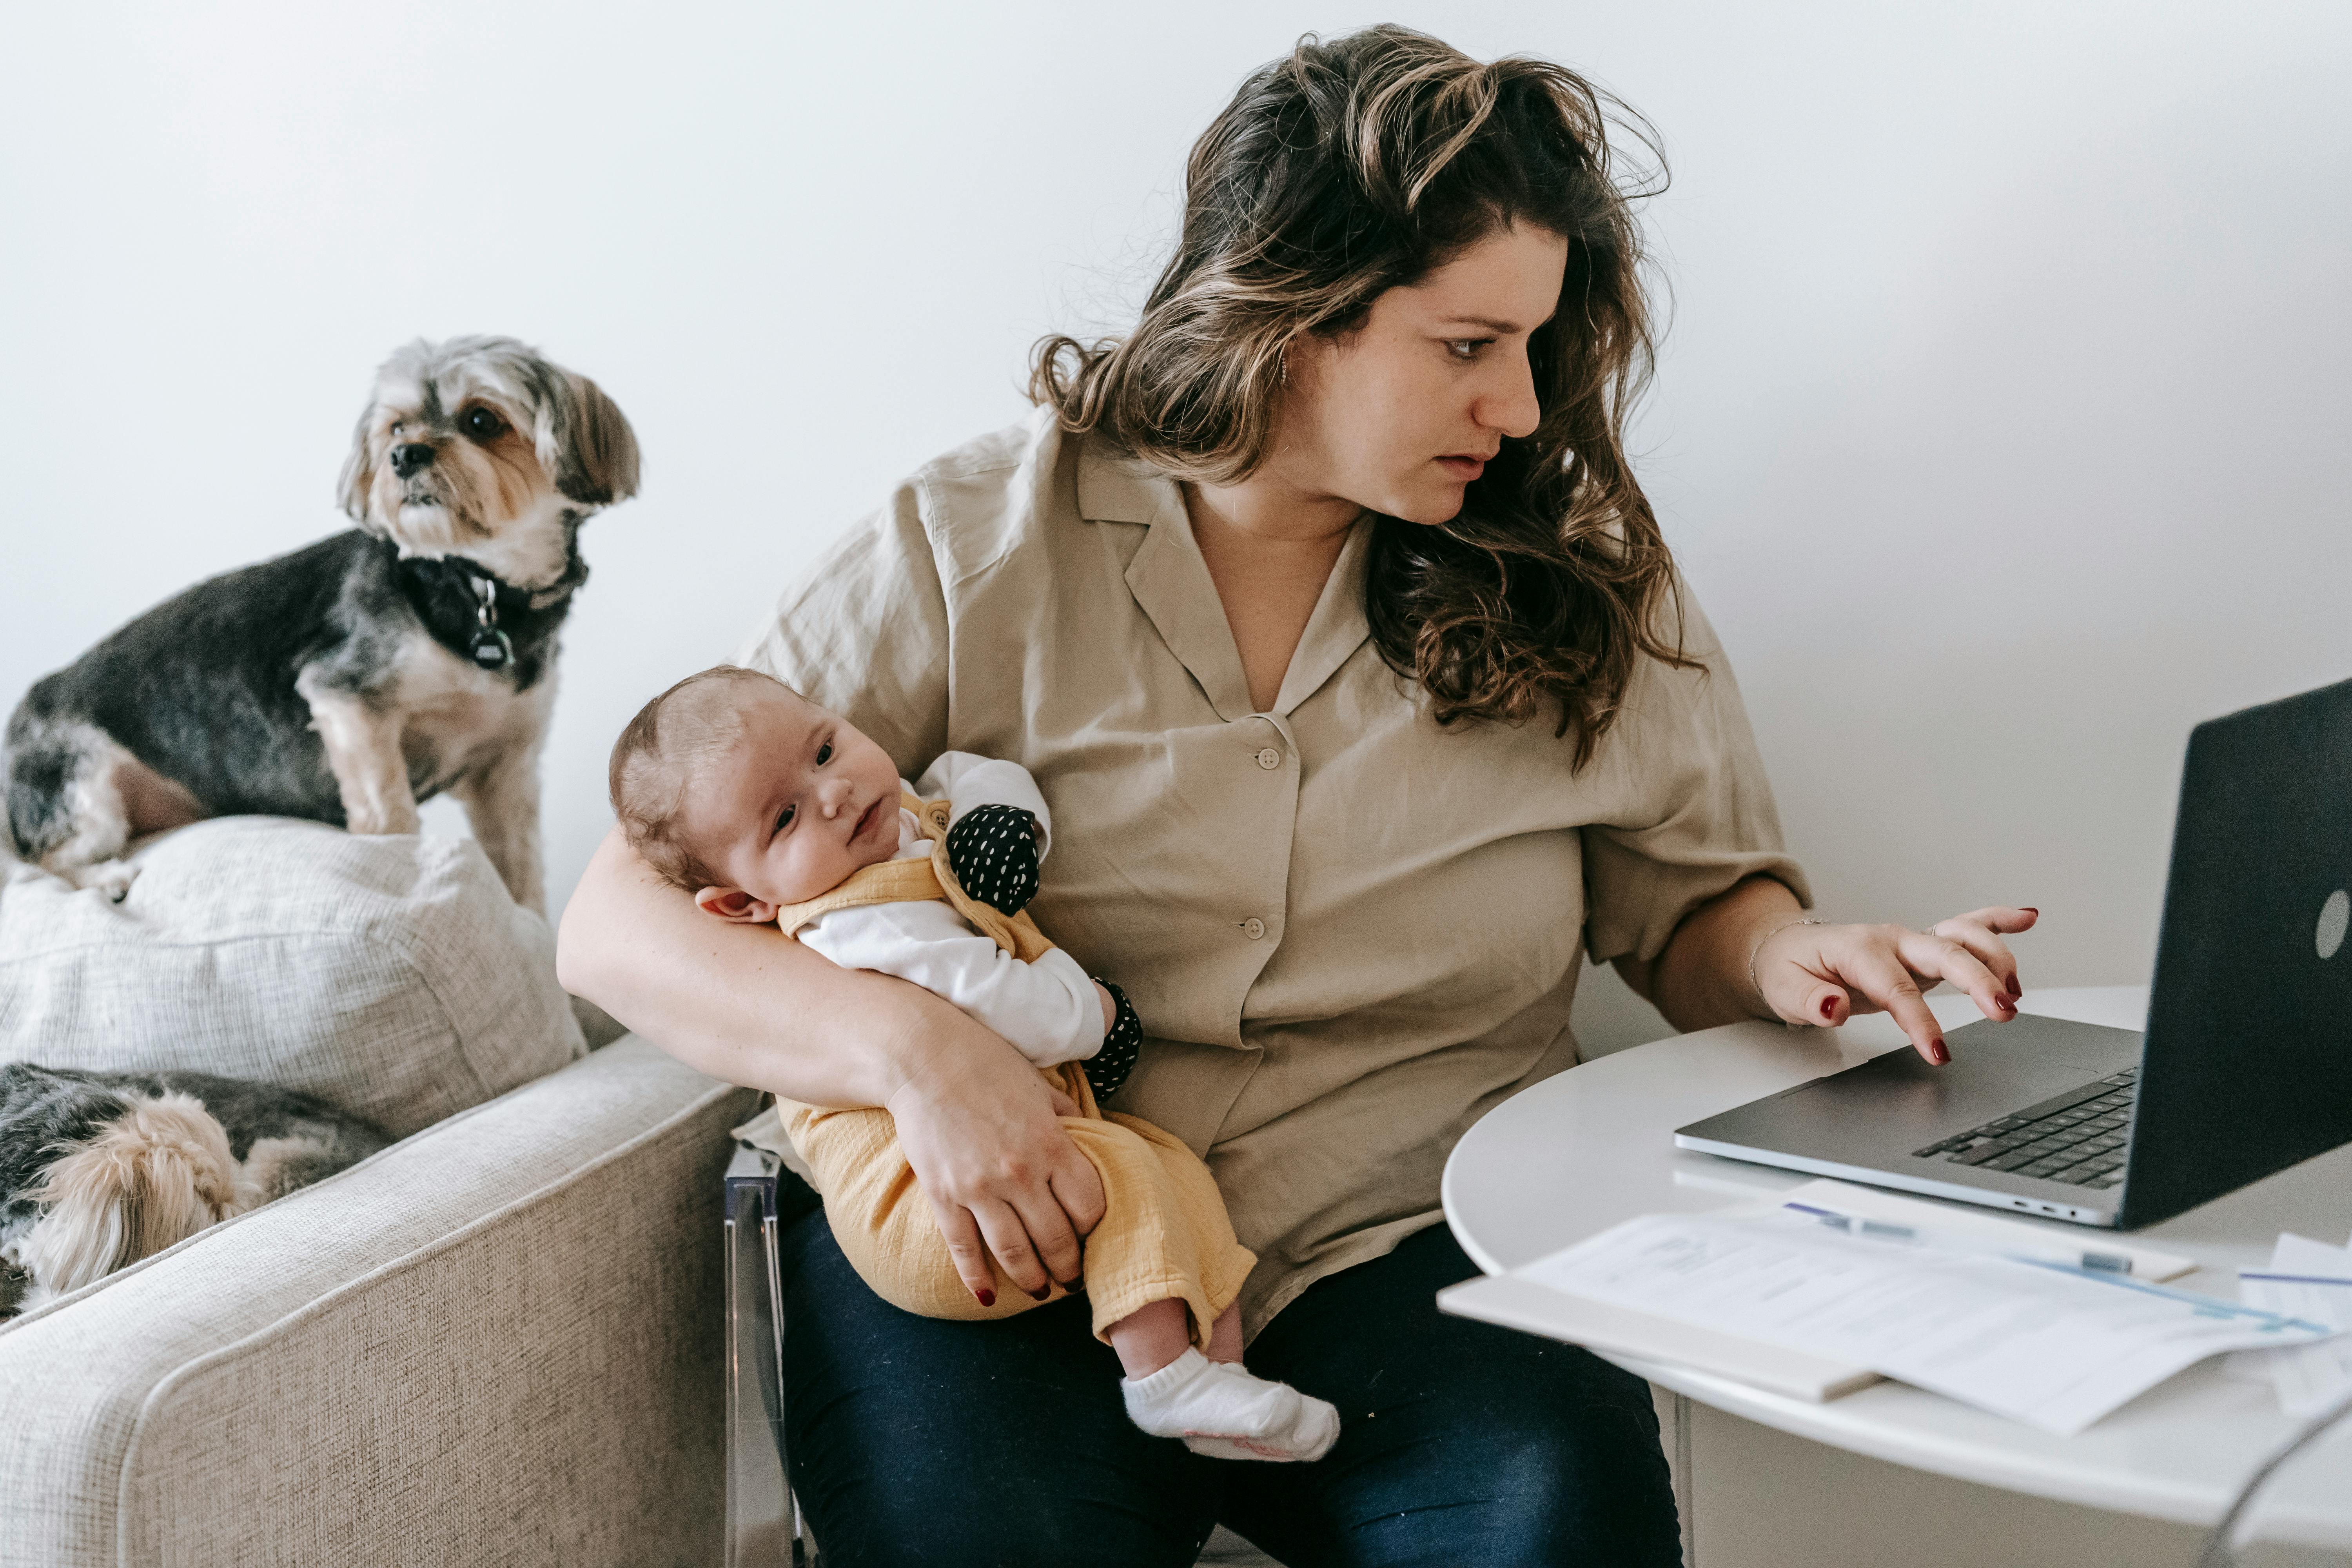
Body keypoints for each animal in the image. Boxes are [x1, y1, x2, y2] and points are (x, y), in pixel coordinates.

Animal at [0, 338, 640, 912]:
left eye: (483, 419)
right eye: (397, 428)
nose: (404, 457)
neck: (474, 584)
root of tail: (25, 711)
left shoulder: (504, 766)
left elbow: (521, 873)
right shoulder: (349, 700)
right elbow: (390, 812)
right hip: (80, 789)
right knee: (40, 862)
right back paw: (106, 878)